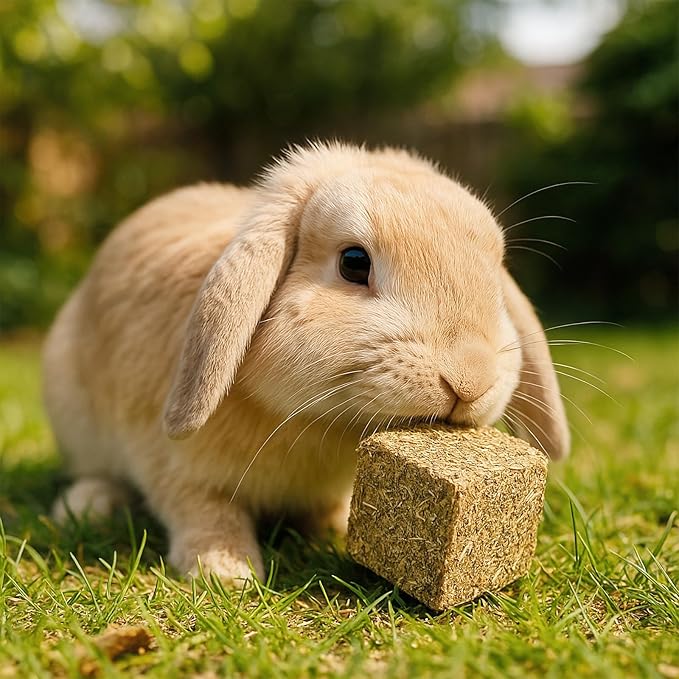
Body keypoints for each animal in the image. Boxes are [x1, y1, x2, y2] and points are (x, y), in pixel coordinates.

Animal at [43, 141, 569, 583]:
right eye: (354, 262)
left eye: (494, 275)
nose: (470, 379)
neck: (318, 423)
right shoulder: (174, 466)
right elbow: (205, 510)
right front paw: (226, 572)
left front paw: (336, 529)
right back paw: (87, 506)